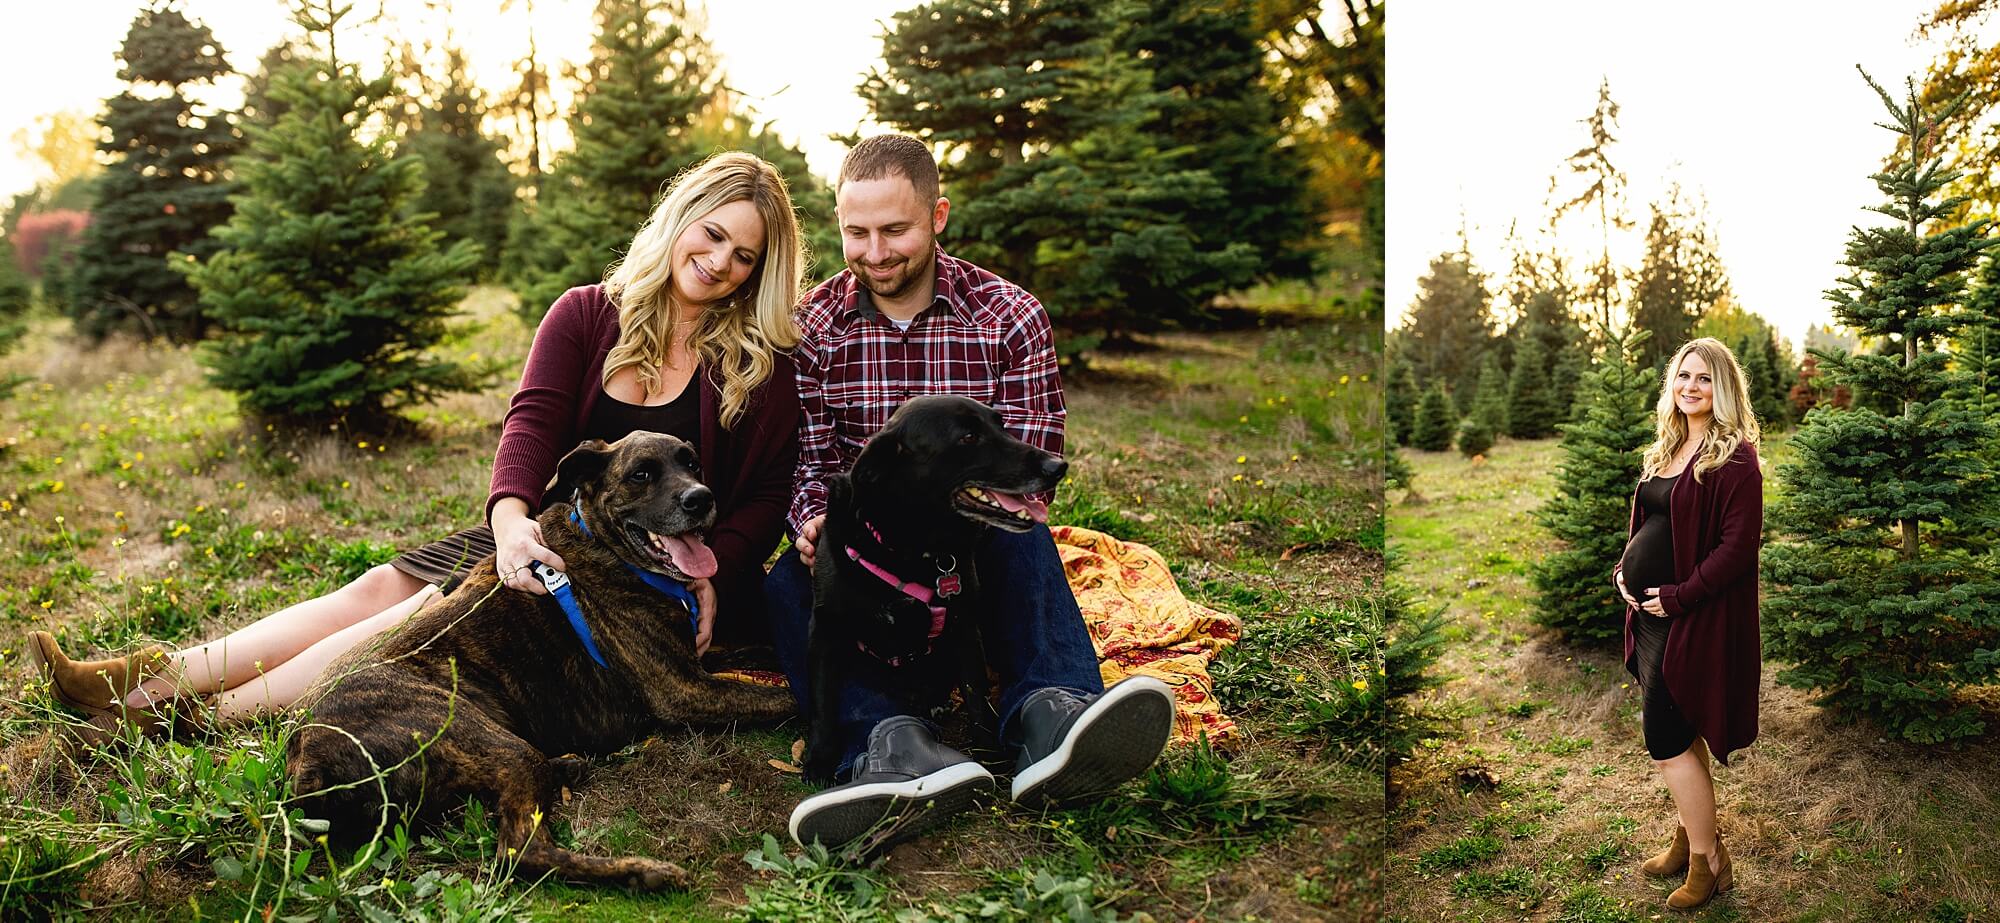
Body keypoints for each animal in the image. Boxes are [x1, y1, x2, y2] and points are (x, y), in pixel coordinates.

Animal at [284, 435, 796, 891]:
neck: (605, 545)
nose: (700, 498)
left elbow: (761, 650)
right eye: (641, 474)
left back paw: (566, 767)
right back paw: (643, 872)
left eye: (692, 463)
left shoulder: (698, 656)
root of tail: (305, 753)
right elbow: (784, 698)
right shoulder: (686, 689)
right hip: (487, 740)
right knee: (521, 852)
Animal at [804, 393, 1072, 783]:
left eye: (1002, 425)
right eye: (968, 437)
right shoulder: (825, 627)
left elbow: (977, 699)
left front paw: (991, 758)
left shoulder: (964, 626)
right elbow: (823, 702)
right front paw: (819, 761)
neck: (910, 548)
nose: (1058, 465)